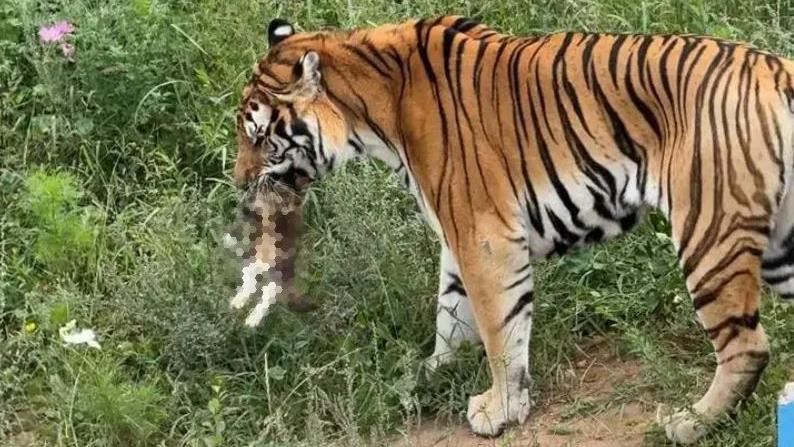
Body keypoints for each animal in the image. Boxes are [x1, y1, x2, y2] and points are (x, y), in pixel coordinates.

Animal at [232, 16, 794, 444]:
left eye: (260, 138)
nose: (237, 183)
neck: (372, 114)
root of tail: (776, 68)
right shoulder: (457, 234)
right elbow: (450, 310)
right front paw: (432, 371)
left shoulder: (484, 236)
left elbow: (499, 328)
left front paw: (500, 409)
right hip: (779, 242)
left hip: (708, 233)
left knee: (747, 346)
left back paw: (692, 423)